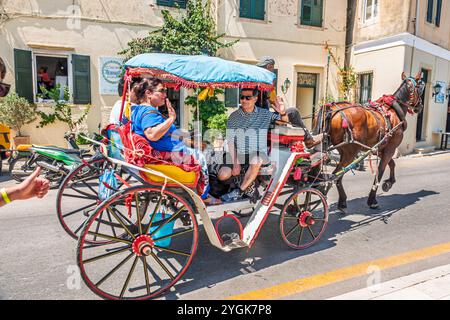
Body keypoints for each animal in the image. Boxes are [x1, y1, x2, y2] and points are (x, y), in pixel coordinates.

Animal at [314, 71, 424, 211]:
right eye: (420, 88)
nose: (420, 106)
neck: (393, 111)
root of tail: (331, 108)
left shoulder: (379, 149)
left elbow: (392, 164)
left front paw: (389, 183)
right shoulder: (390, 149)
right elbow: (380, 171)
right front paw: (373, 200)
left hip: (342, 151)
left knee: (335, 175)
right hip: (350, 152)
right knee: (336, 175)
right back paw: (336, 200)